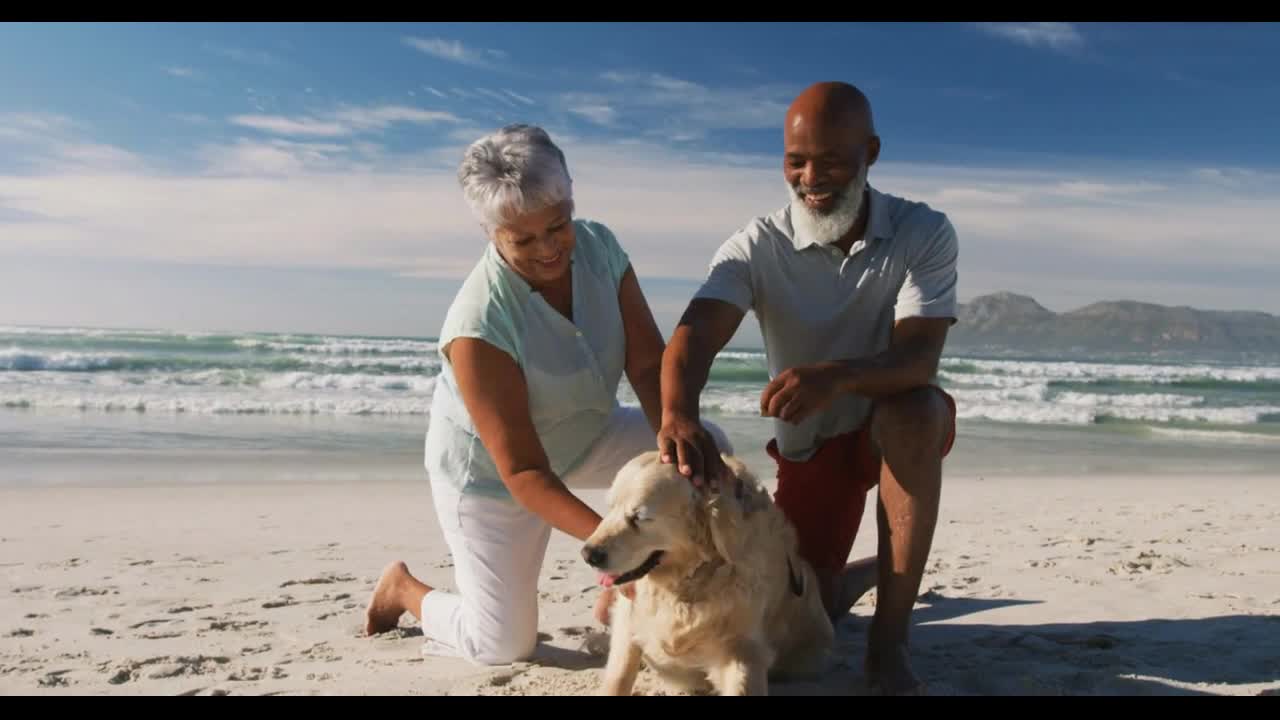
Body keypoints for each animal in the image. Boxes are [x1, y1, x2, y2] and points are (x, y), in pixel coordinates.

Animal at [581, 450, 829, 691]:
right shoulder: (628, 619)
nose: (587, 554)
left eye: (639, 517)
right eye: (610, 507)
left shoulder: (743, 648)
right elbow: (618, 676)